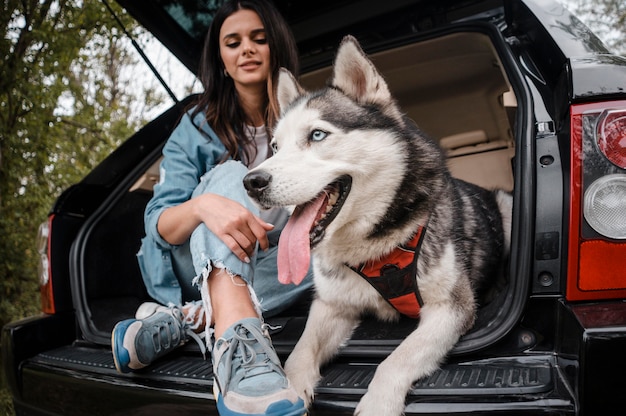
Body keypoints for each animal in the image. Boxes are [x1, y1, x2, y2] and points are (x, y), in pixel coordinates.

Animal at [241, 36, 510, 416]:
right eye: (276, 146)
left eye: (317, 135)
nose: (252, 182)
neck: (371, 244)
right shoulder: (330, 306)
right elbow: (299, 352)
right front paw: (291, 388)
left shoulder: (451, 308)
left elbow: (396, 359)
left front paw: (377, 404)